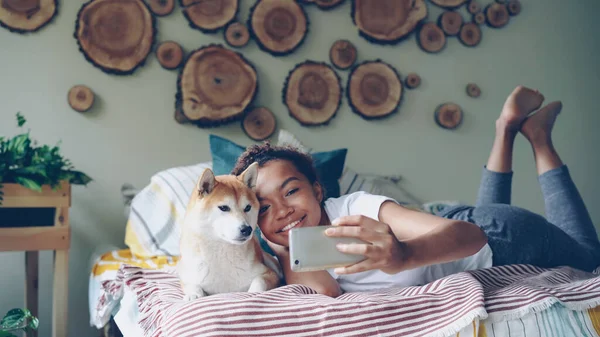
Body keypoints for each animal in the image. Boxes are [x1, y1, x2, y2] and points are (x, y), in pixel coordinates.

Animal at [178, 163, 282, 300]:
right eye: (224, 208)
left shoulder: (269, 273)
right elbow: (192, 285)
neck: (223, 252)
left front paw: (253, 293)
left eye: (247, 207)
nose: (247, 229)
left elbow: (259, 281)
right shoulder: (187, 276)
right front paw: (193, 295)